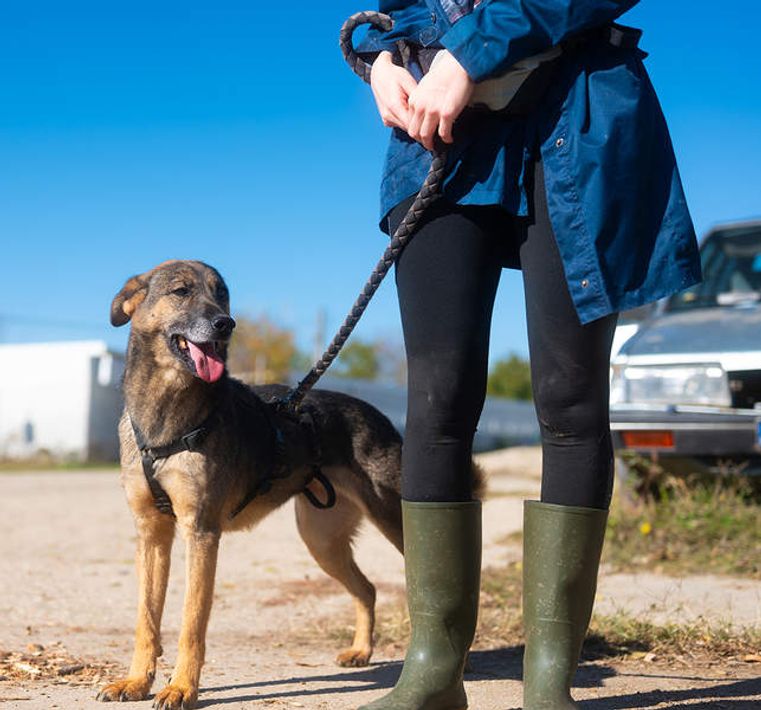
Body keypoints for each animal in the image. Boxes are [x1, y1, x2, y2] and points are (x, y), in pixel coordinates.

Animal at [96, 260, 413, 709]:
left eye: (222, 294)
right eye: (181, 291)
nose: (225, 324)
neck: (164, 416)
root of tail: (380, 415)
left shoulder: (201, 532)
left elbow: (192, 622)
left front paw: (181, 687)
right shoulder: (152, 534)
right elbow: (147, 618)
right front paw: (137, 681)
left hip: (393, 522)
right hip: (321, 541)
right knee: (366, 589)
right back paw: (361, 651)